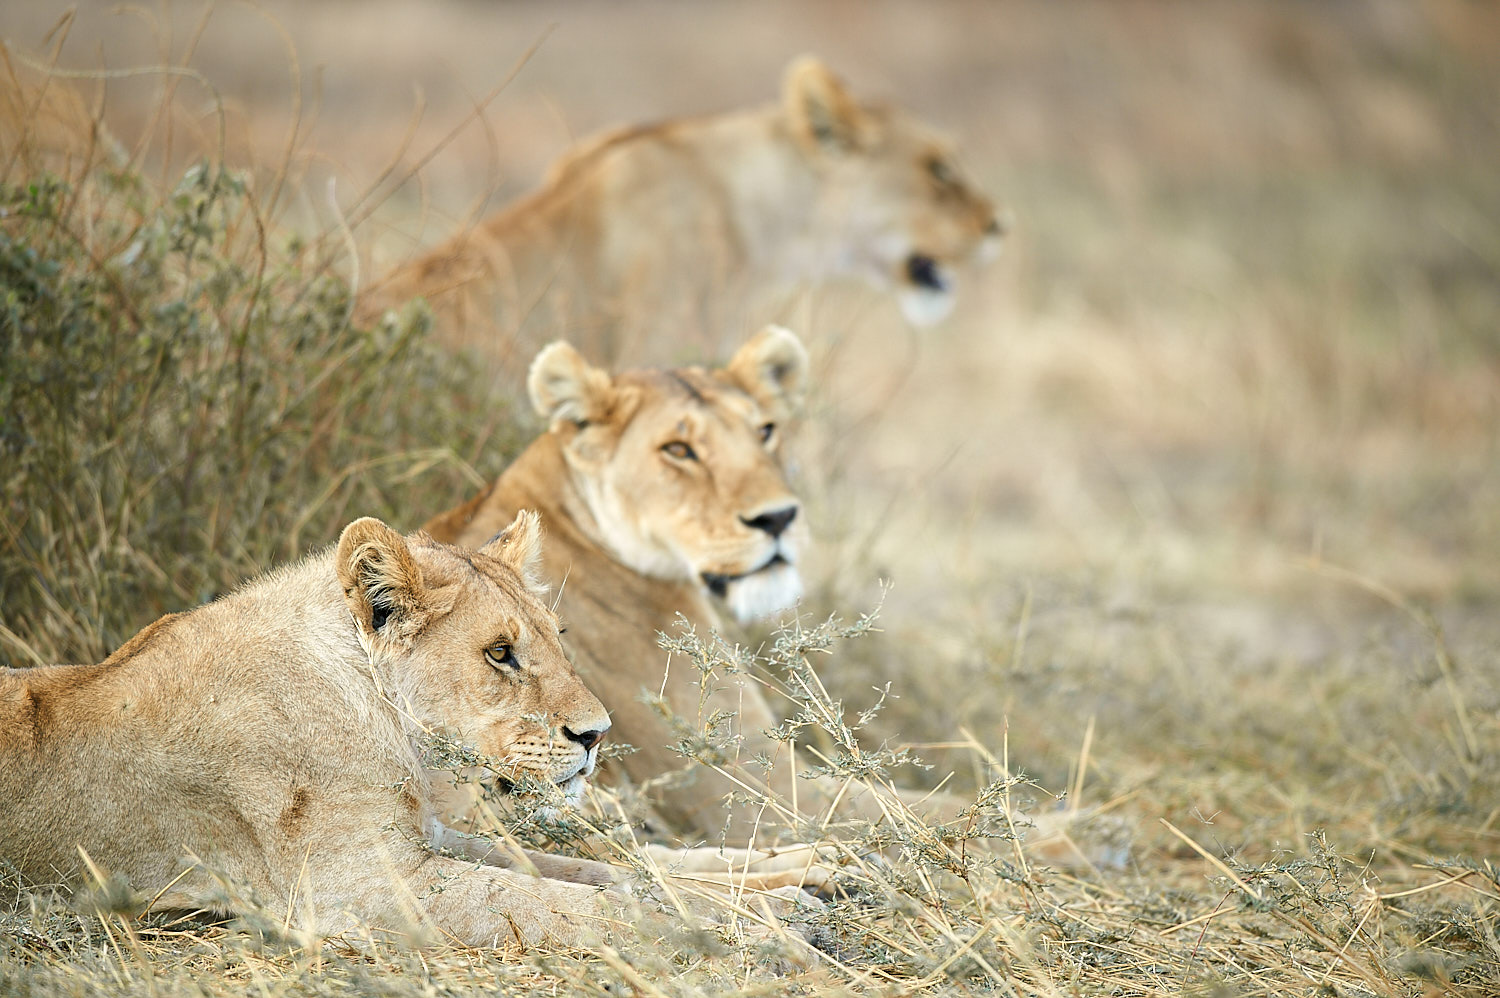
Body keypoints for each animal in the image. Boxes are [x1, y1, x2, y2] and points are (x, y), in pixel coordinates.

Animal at [0, 513, 816, 948]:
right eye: (499, 654)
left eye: (556, 637)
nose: (596, 735)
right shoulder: (363, 891)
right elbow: (584, 902)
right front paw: (763, 927)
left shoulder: (421, 840)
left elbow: (604, 871)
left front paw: (795, 886)